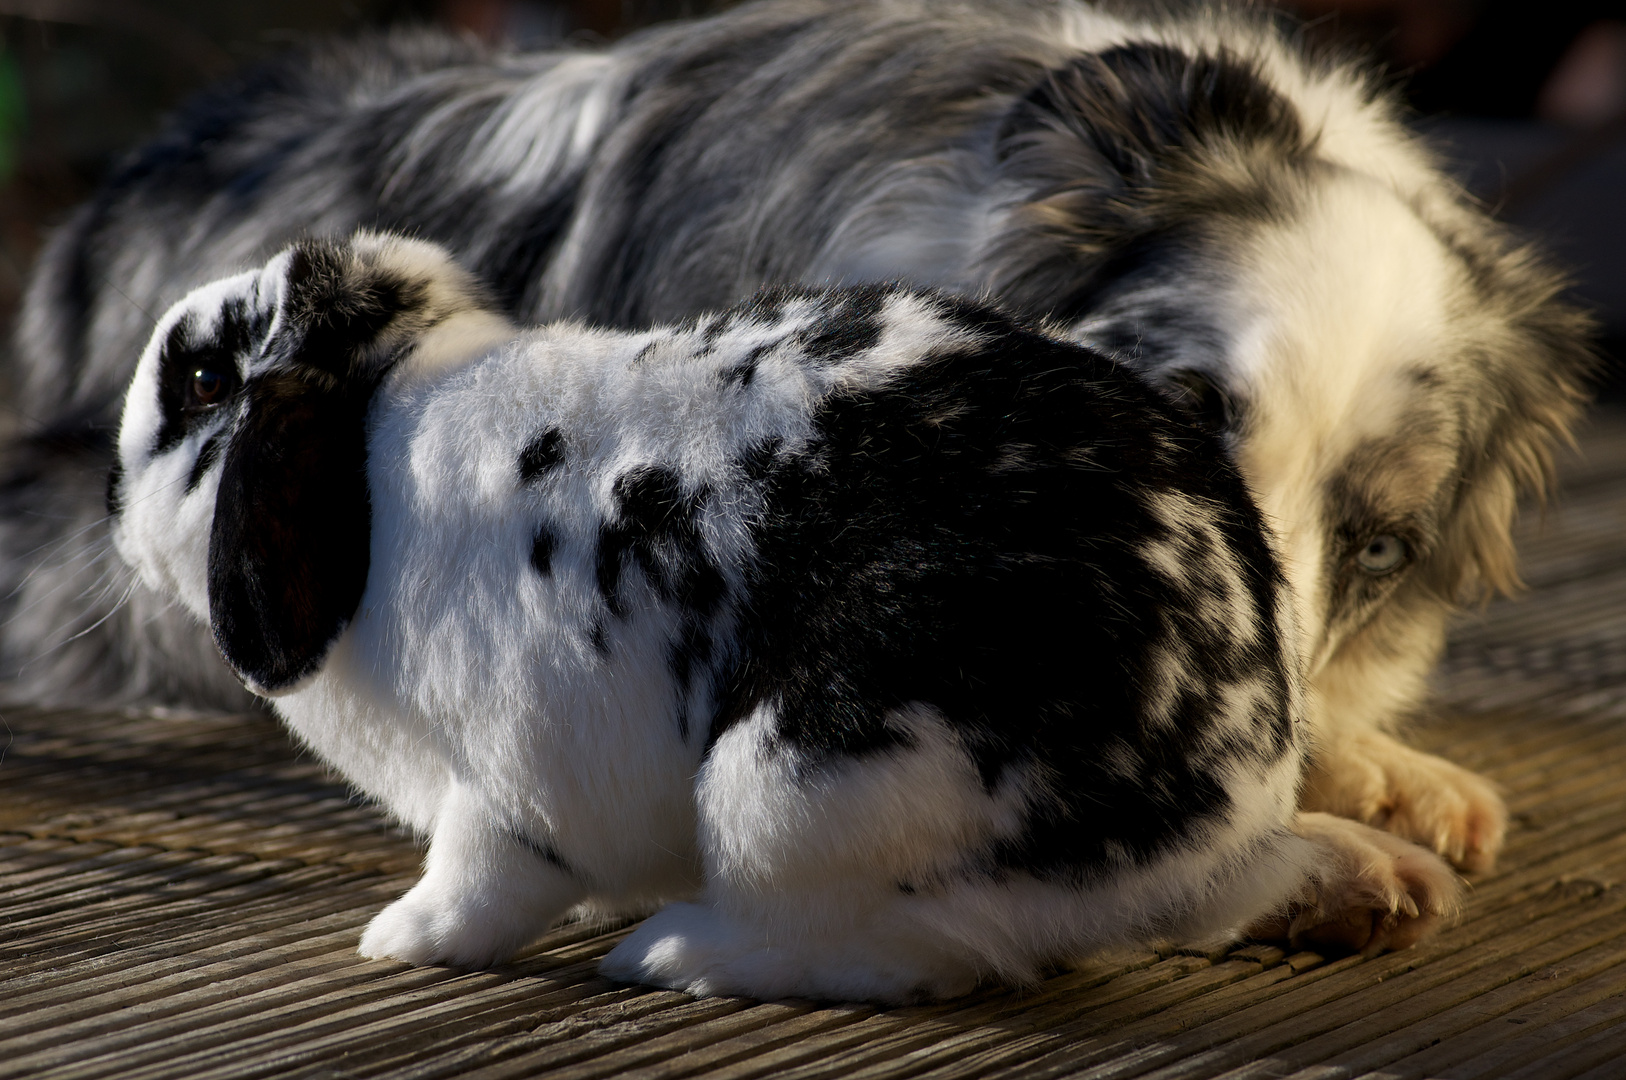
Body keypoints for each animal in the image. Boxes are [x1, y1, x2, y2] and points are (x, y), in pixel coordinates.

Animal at [104, 234, 1463, 1001]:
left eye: (205, 381)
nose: (112, 503)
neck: (375, 448)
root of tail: (1211, 818)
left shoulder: (506, 783)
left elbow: (481, 881)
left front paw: (402, 939)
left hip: (796, 783)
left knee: (918, 958)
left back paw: (679, 957)